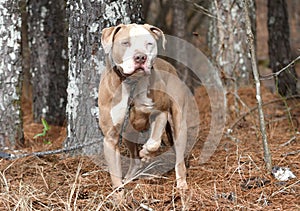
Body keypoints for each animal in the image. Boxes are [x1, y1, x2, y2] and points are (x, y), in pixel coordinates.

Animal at [98, 23, 188, 195]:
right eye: (125, 43)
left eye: (149, 43)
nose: (140, 57)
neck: (132, 84)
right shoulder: (111, 136)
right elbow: (115, 176)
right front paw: (119, 195)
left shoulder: (160, 112)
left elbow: (154, 142)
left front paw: (146, 153)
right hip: (128, 132)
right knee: (135, 160)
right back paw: (129, 177)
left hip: (178, 122)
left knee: (179, 157)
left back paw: (182, 183)